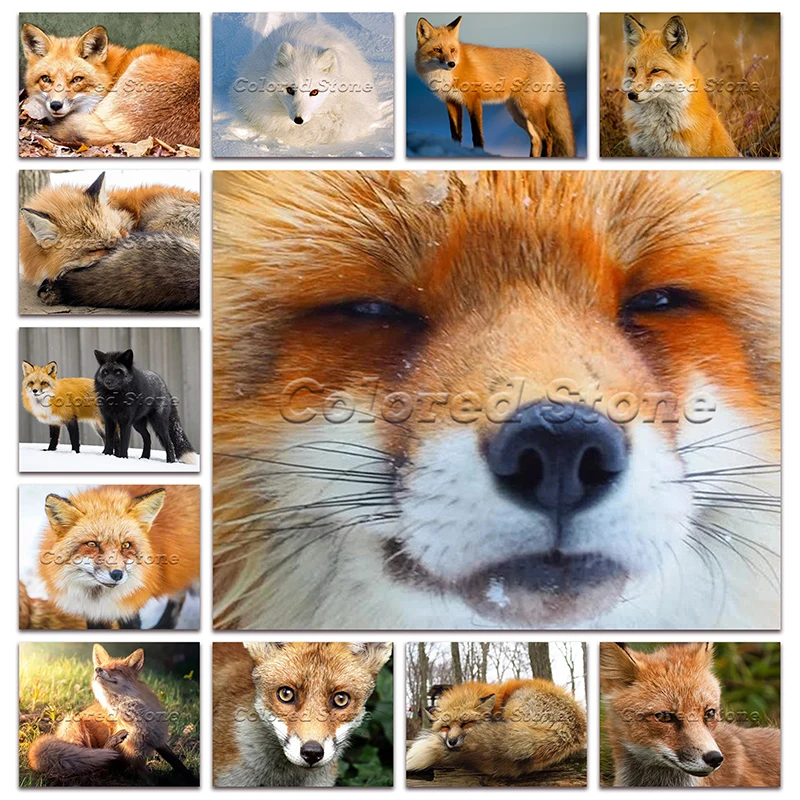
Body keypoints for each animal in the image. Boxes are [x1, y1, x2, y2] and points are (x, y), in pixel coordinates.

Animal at [27, 644, 197, 784]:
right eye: (101, 666)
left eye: (116, 669)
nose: (97, 670)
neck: (138, 716)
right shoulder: (134, 755)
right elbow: (147, 779)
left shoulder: (158, 739)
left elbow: (178, 763)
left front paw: (192, 778)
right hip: (75, 724)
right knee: (96, 759)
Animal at [38, 485, 200, 628]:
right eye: (92, 544)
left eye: (126, 545)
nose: (117, 574)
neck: (99, 601)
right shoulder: (91, 614)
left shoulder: (128, 611)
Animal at [415, 16, 575, 157]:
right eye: (437, 50)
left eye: (452, 49)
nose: (451, 64)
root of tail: (546, 62)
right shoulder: (451, 102)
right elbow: (455, 134)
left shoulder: (473, 101)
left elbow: (477, 134)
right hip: (517, 113)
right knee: (536, 139)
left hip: (529, 109)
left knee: (548, 136)